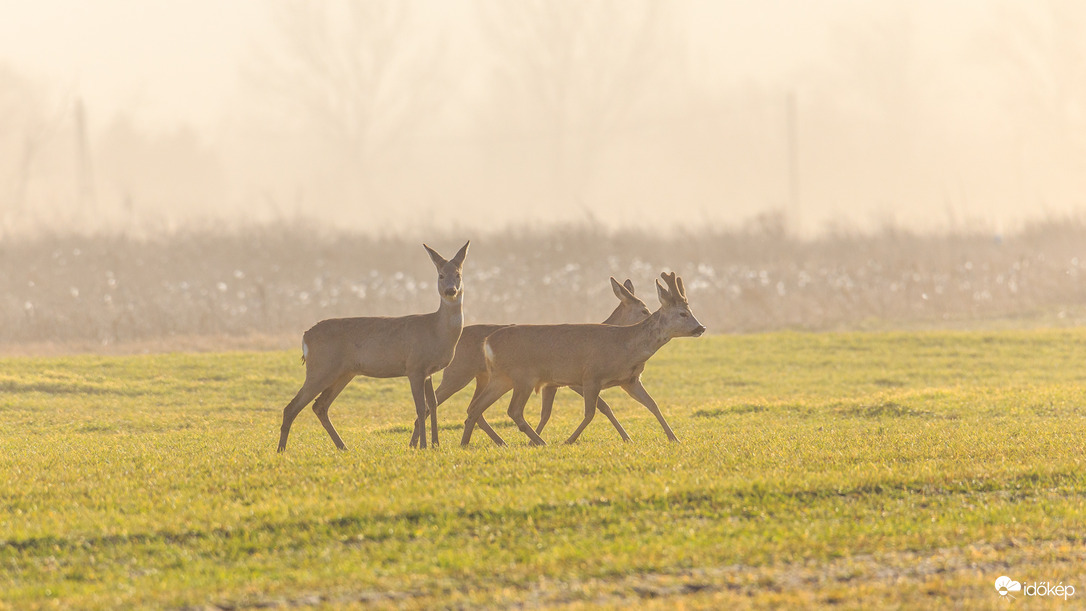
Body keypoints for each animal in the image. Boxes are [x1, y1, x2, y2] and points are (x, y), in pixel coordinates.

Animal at [273, 242, 469, 451]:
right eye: (441, 275)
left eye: (459, 274)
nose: (451, 290)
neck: (436, 330)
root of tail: (305, 337)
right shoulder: (414, 366)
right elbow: (421, 407)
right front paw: (423, 446)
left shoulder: (428, 372)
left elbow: (433, 404)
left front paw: (436, 445)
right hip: (321, 367)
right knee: (292, 407)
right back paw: (281, 450)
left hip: (344, 372)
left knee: (319, 406)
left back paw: (343, 447)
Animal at [406, 279, 642, 447]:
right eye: (644, 309)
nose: (647, 314)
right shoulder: (575, 381)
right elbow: (604, 406)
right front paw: (627, 437)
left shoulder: (552, 384)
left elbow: (547, 413)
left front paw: (533, 439)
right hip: (458, 373)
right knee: (441, 401)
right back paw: (417, 441)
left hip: (483, 377)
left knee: (473, 408)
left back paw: (497, 441)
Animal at [462, 274, 708, 447]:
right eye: (683, 314)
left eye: (690, 311)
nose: (701, 327)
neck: (625, 346)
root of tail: (488, 342)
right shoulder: (590, 376)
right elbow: (591, 413)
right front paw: (569, 440)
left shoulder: (630, 380)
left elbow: (653, 405)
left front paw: (674, 438)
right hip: (523, 376)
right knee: (512, 410)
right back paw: (540, 441)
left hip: (501, 377)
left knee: (475, 407)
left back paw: (466, 443)